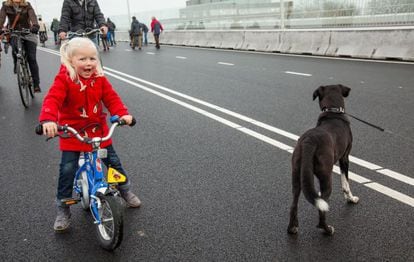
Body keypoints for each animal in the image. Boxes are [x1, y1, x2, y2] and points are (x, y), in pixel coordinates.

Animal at [288, 84, 360, 235]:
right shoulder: (345, 158)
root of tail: (309, 141)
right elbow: (346, 184)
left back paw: (292, 228)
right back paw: (327, 229)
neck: (333, 112)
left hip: (296, 177)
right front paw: (351, 199)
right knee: (322, 211)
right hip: (326, 176)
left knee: (293, 204)